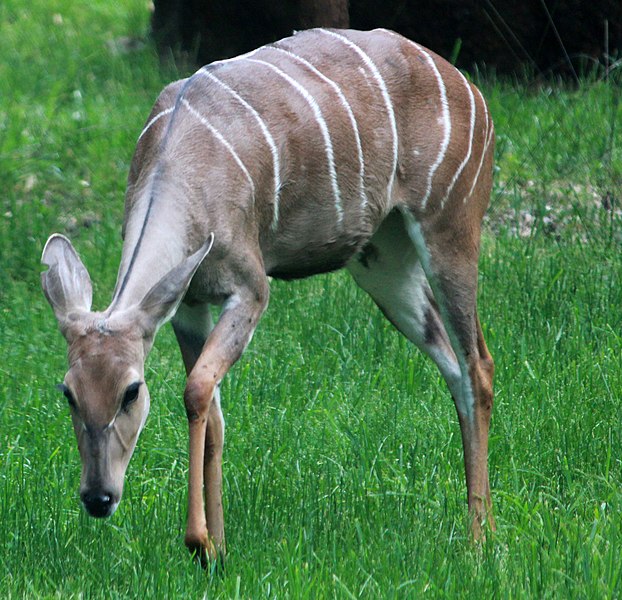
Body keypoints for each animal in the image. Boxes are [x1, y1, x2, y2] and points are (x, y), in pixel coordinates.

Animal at [40, 28, 498, 564]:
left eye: (131, 391)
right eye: (68, 392)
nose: (98, 498)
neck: (181, 169)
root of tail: (471, 91)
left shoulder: (250, 287)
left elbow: (196, 389)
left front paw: (198, 542)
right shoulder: (188, 303)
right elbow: (213, 411)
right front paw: (217, 549)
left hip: (451, 225)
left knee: (478, 364)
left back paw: (479, 541)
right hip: (382, 262)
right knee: (452, 366)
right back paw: (481, 528)